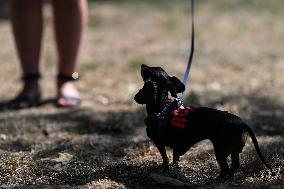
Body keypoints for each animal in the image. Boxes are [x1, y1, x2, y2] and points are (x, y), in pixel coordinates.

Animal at [134, 64, 270, 178]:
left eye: (147, 71)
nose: (142, 65)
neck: (161, 105)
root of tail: (242, 123)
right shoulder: (176, 146)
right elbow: (175, 158)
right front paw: (175, 170)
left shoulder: (159, 142)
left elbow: (165, 158)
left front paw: (165, 169)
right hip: (233, 150)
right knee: (234, 166)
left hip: (220, 150)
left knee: (225, 169)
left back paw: (217, 180)